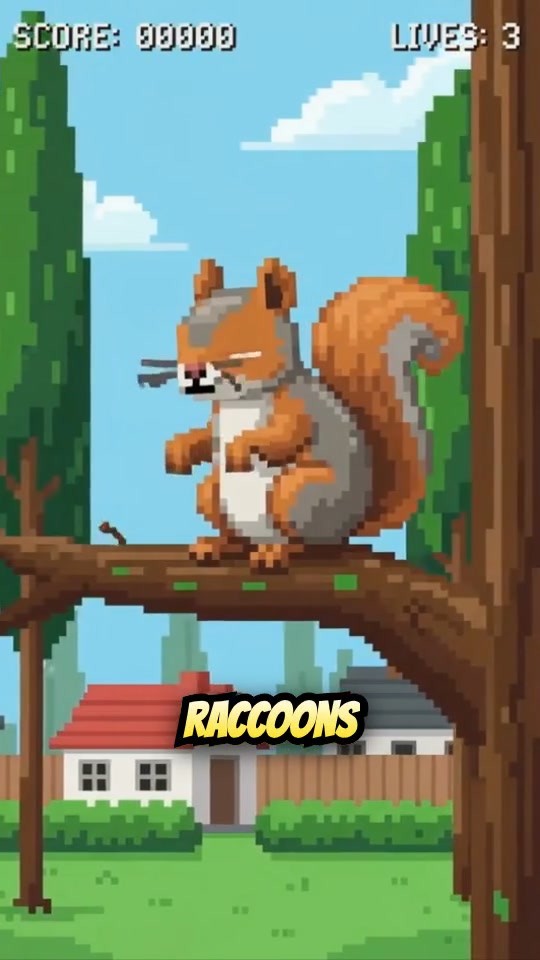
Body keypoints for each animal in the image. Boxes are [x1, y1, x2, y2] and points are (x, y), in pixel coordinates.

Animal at [149, 257, 462, 570]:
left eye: (242, 338)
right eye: (182, 333)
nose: (192, 372)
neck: (240, 401)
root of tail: (351, 526)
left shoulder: (299, 407)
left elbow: (286, 435)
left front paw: (240, 447)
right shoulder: (217, 418)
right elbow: (207, 435)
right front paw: (178, 448)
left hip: (299, 495)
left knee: (310, 543)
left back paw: (278, 552)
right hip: (214, 495)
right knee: (226, 519)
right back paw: (217, 545)